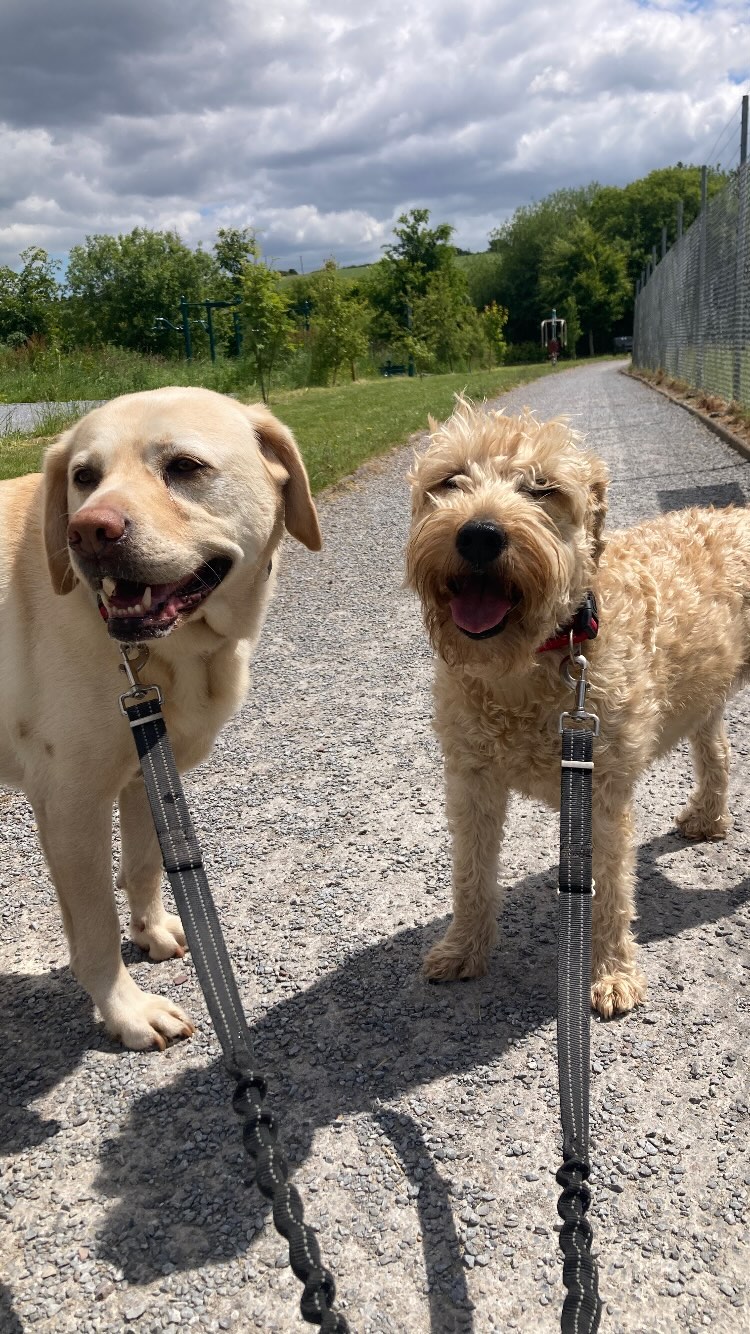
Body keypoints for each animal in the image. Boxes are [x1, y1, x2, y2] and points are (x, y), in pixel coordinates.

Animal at [0, 386, 317, 1051]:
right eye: (84, 477)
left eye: (184, 467)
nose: (88, 531)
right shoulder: (70, 805)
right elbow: (95, 930)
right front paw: (127, 1011)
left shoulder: (146, 767)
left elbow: (145, 865)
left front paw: (152, 932)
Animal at [408, 400, 747, 1013]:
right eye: (450, 480)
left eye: (543, 488)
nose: (479, 534)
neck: (531, 662)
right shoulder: (471, 778)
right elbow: (470, 872)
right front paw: (464, 948)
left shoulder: (602, 789)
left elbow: (611, 886)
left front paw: (611, 973)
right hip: (704, 694)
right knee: (718, 750)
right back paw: (707, 818)